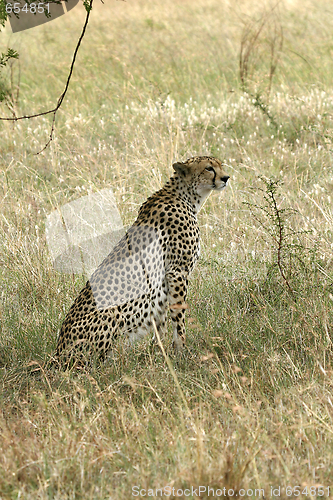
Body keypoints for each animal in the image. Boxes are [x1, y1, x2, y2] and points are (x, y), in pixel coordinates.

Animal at [56, 156, 228, 364]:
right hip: (111, 314)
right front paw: (181, 351)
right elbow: (178, 316)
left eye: (221, 165)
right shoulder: (177, 272)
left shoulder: (163, 282)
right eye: (209, 168)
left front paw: (160, 352)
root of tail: (56, 355)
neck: (185, 197)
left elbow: (161, 320)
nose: (226, 178)